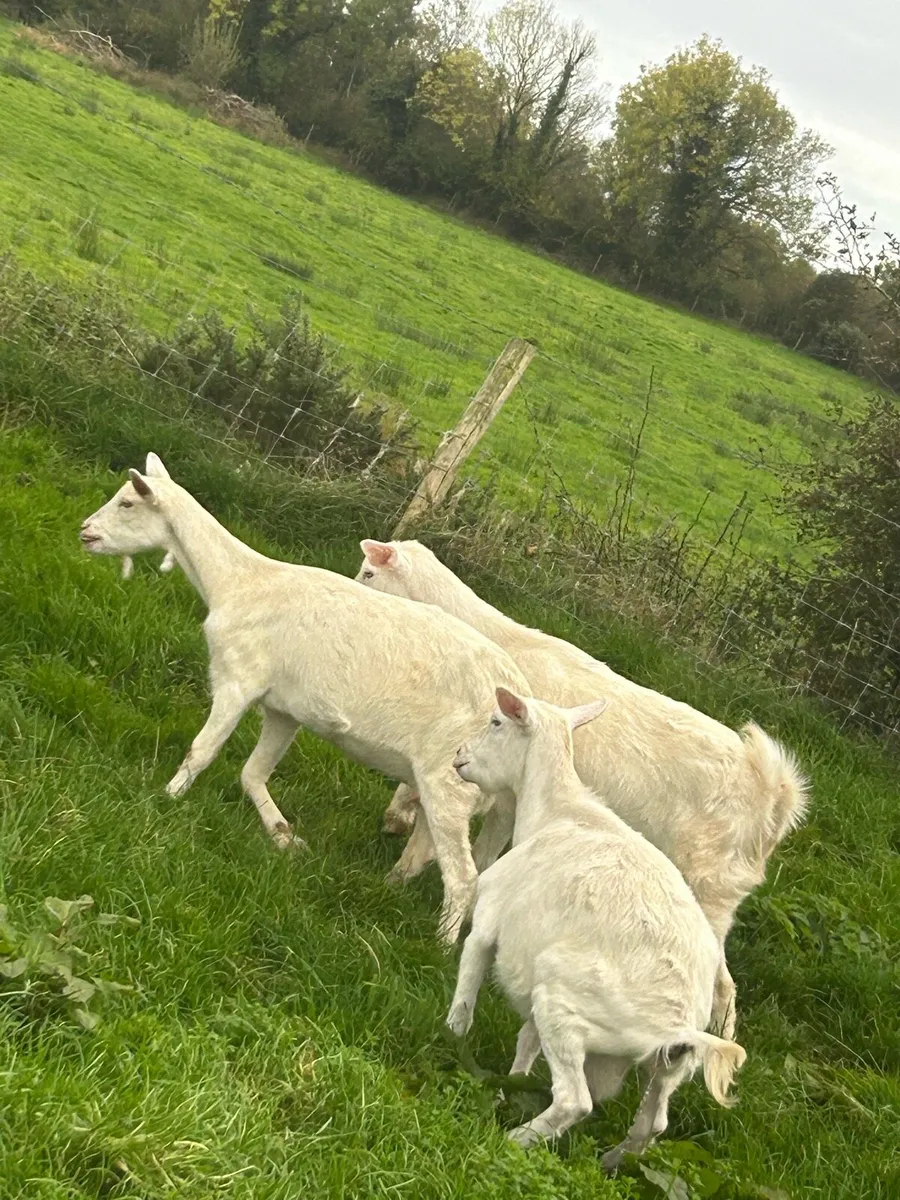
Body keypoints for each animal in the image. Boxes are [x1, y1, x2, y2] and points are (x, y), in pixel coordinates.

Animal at [79, 455, 532, 943]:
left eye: (127, 502)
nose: (85, 531)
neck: (238, 582)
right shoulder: (283, 709)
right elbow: (252, 774)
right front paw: (284, 836)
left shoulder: (239, 677)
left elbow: (202, 750)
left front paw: (165, 798)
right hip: (444, 784)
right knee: (427, 852)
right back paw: (391, 888)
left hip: (449, 779)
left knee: (464, 878)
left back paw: (441, 945)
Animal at [448, 686, 746, 1165]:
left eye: (496, 722)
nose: (459, 756)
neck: (557, 810)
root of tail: (677, 1025)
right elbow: (526, 1041)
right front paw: (512, 1082)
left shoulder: (489, 922)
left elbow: (465, 996)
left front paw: (450, 1040)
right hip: (666, 1067)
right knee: (652, 1124)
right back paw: (609, 1162)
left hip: (565, 1002)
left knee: (575, 1101)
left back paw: (515, 1139)